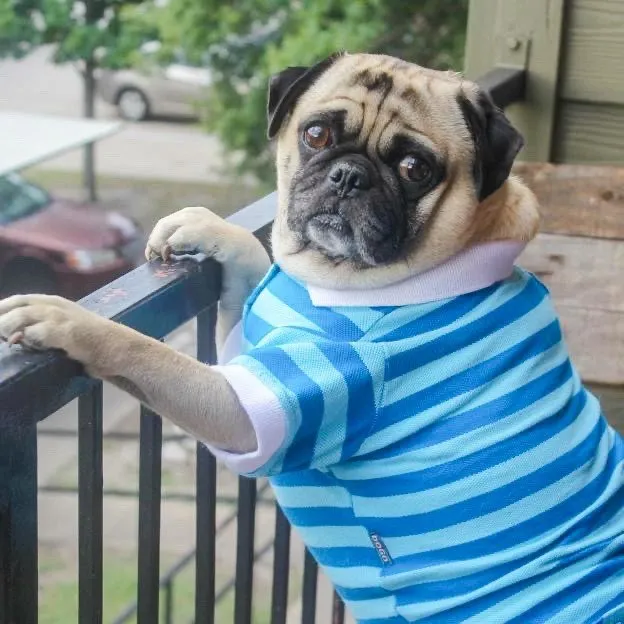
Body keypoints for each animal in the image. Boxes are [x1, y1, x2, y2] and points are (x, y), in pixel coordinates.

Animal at [1, 54, 624, 624]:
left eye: (415, 168)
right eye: (316, 134)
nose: (349, 175)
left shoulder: (250, 407)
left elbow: (141, 348)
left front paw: (64, 318)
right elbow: (254, 257)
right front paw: (207, 227)